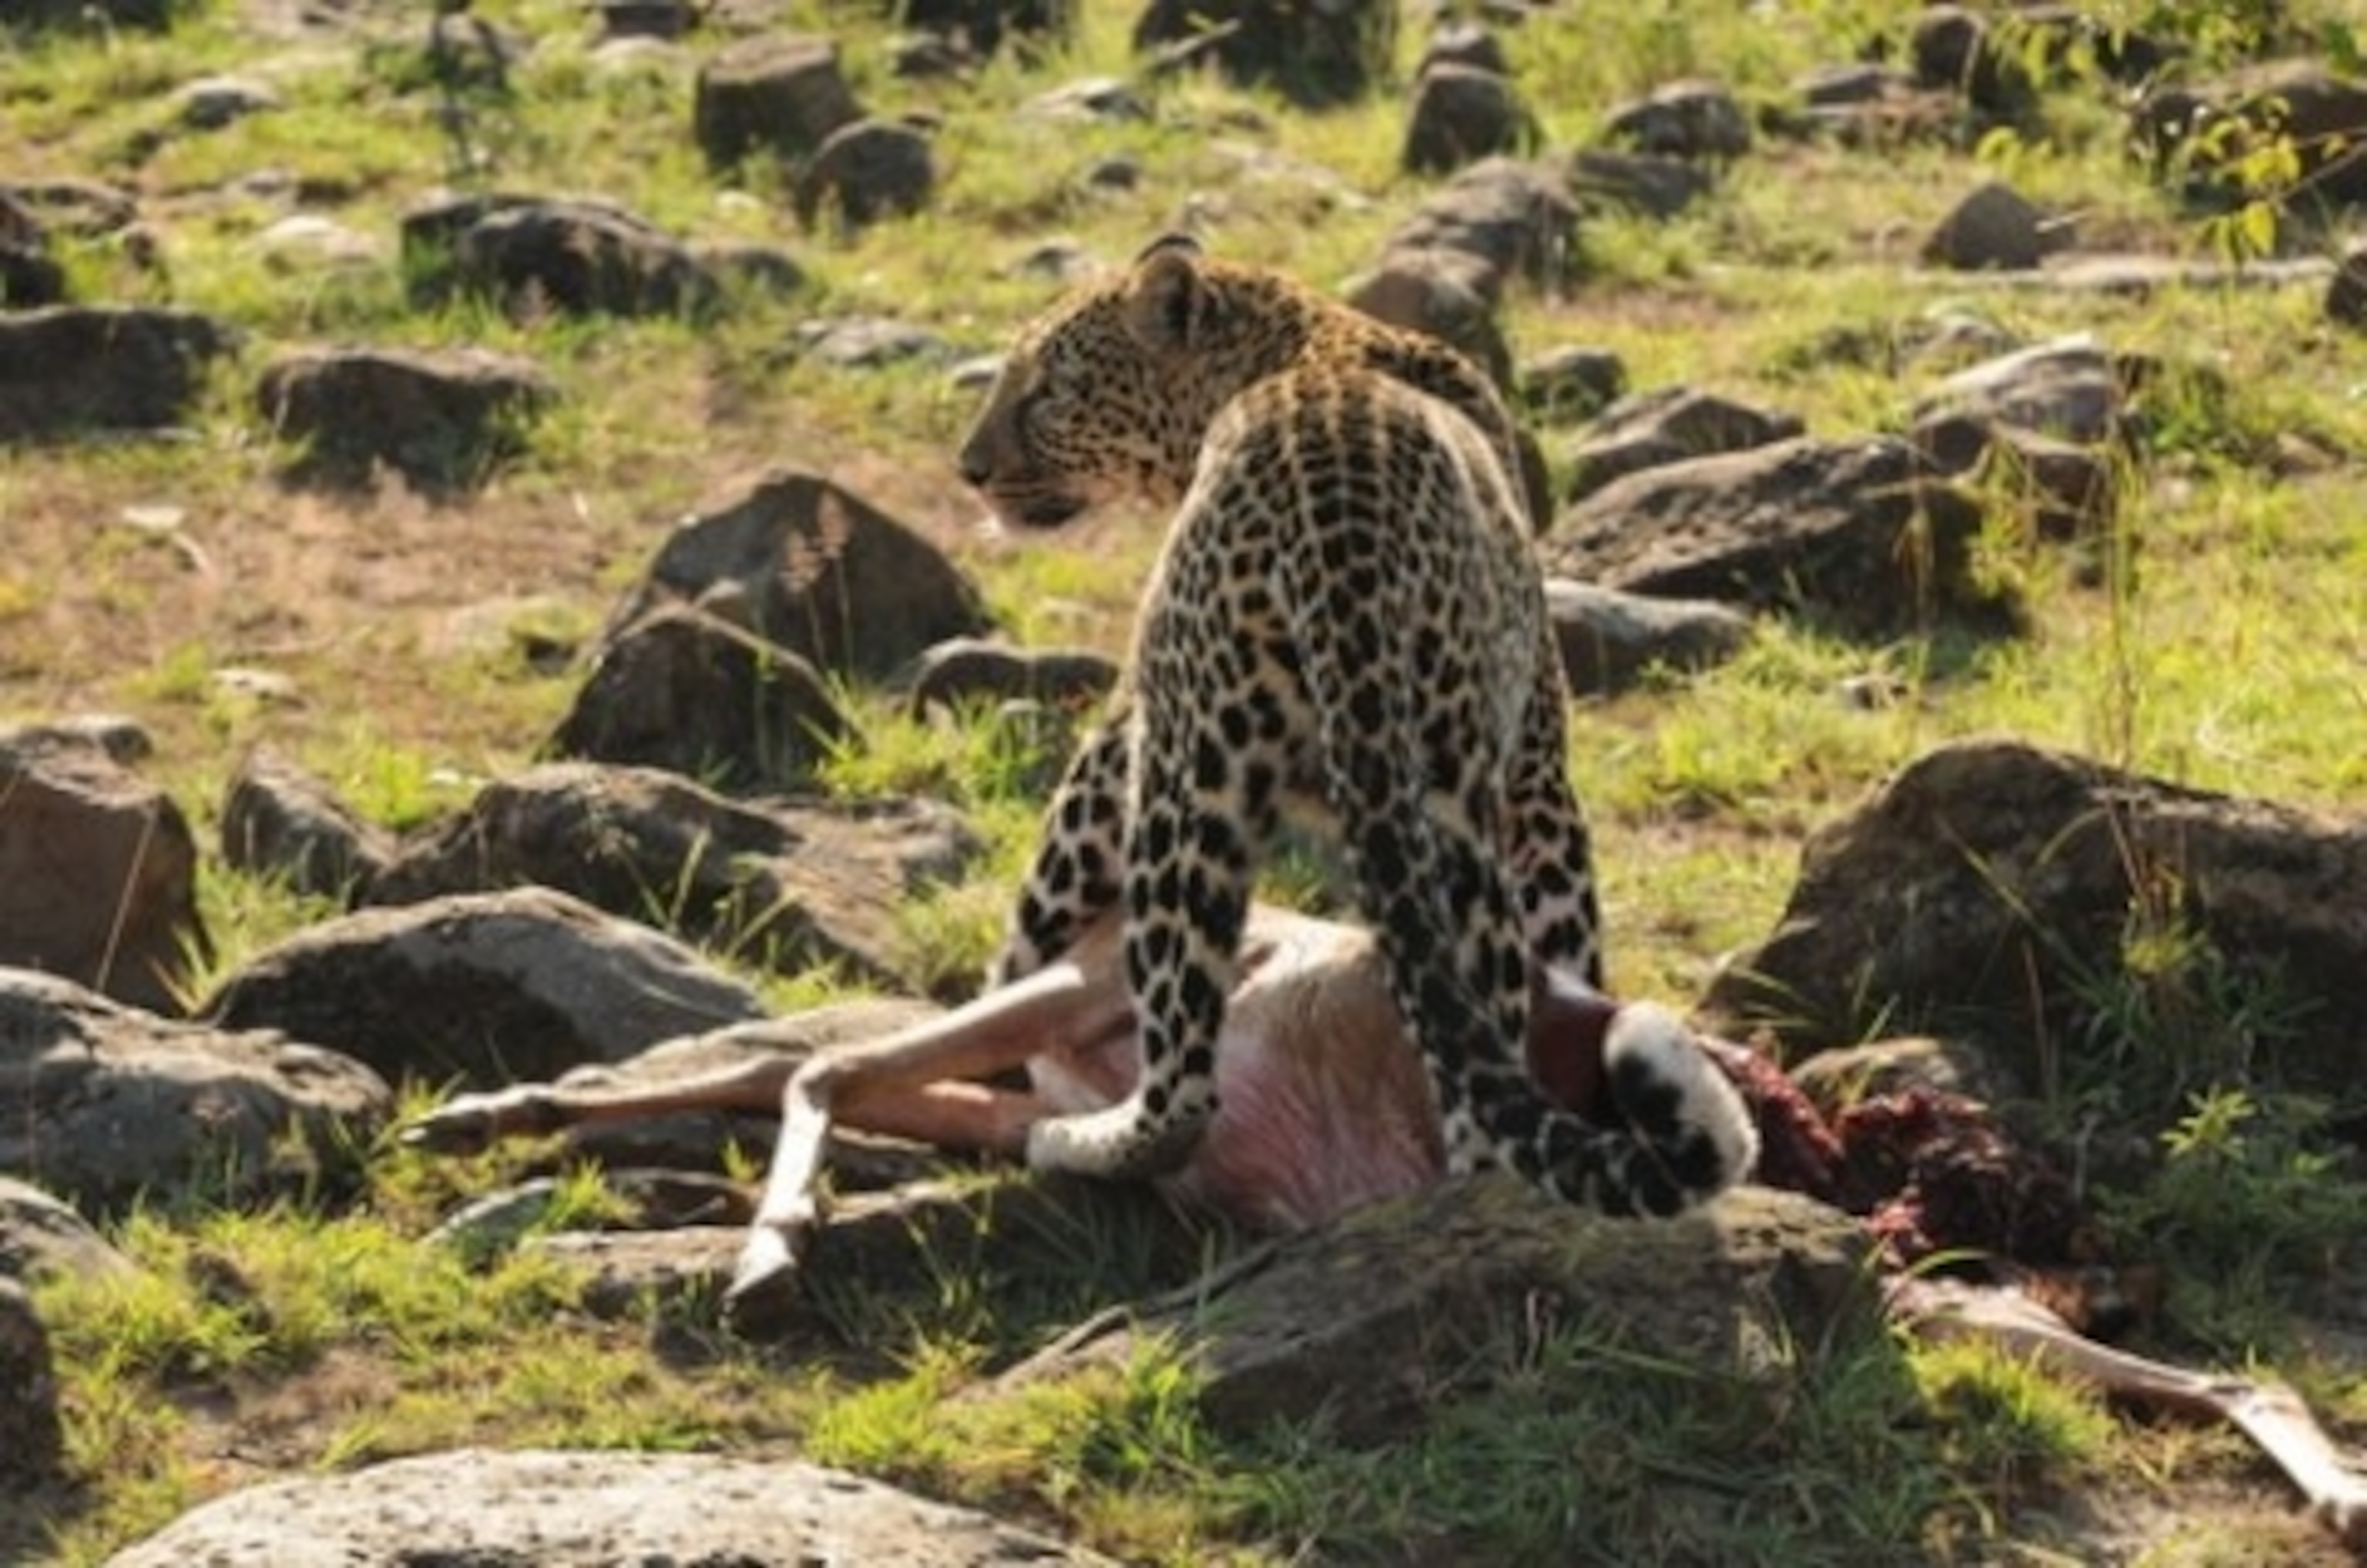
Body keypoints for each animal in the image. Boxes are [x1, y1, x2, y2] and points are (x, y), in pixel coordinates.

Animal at [955, 234, 1744, 1216]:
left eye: (1047, 390)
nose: (969, 469)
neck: (1283, 340)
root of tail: (1343, 512)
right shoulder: (1538, 776)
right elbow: (1570, 946)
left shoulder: (1130, 726)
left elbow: (1036, 910)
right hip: (1449, 803)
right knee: (1471, 1079)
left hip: (1187, 781)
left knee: (1180, 1091)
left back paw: (1071, 1137)